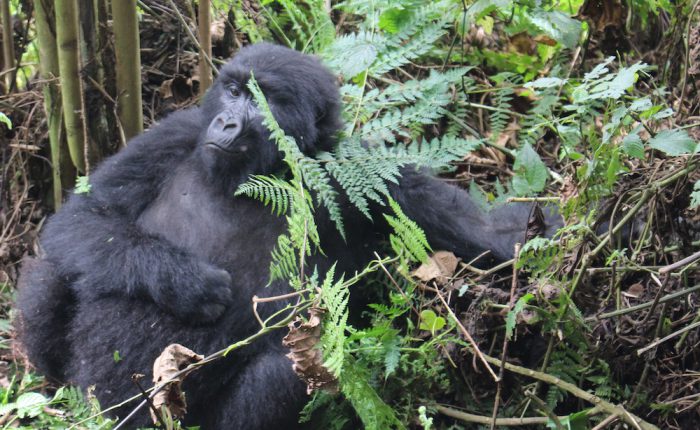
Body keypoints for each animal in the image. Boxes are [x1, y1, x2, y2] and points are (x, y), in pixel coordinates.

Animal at [13, 42, 544, 426]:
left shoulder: (355, 171)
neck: (267, 174)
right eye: (232, 91)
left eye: (264, 99)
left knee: (283, 371)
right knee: (54, 269)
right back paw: (52, 388)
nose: (228, 121)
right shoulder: (177, 130)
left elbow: (479, 232)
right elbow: (85, 214)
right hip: (95, 395)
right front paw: (187, 282)